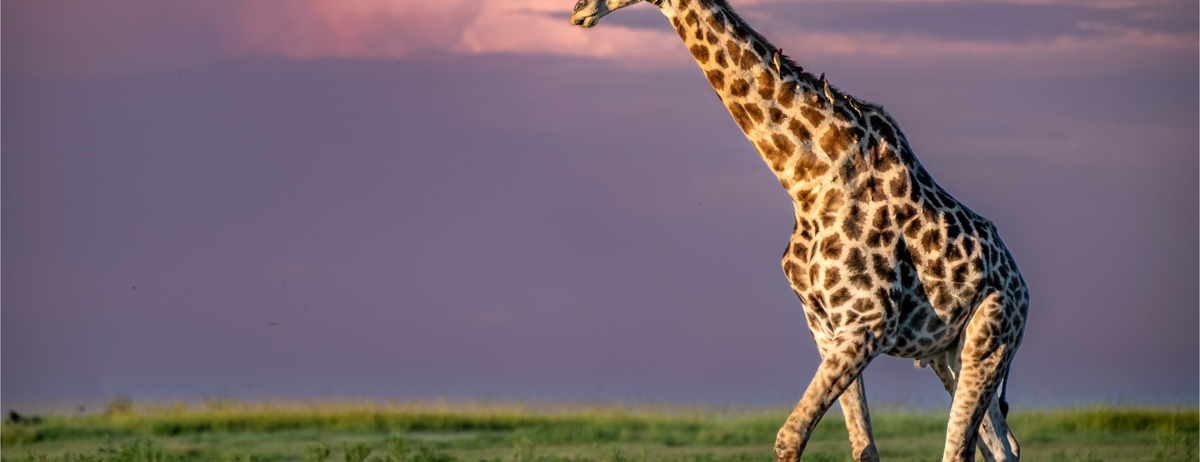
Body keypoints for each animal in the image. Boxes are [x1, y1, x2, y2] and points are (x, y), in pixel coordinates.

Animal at [569, 1, 1028, 461]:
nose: (577, 12)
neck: (807, 180)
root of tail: (1022, 288)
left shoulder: (868, 321)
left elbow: (790, 436)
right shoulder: (826, 328)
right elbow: (862, 448)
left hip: (989, 338)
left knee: (963, 447)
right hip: (947, 354)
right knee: (1002, 445)